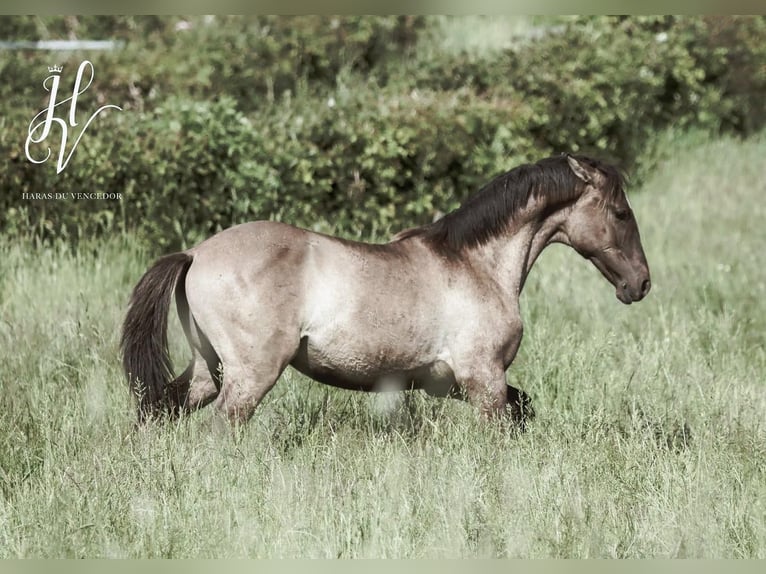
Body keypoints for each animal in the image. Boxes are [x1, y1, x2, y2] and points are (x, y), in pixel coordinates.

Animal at [123, 154, 652, 428]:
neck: (476, 264)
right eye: (621, 213)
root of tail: (194, 253)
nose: (640, 284)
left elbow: (525, 408)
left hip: (208, 370)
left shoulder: (455, 383)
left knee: (161, 409)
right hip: (249, 376)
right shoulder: (483, 379)